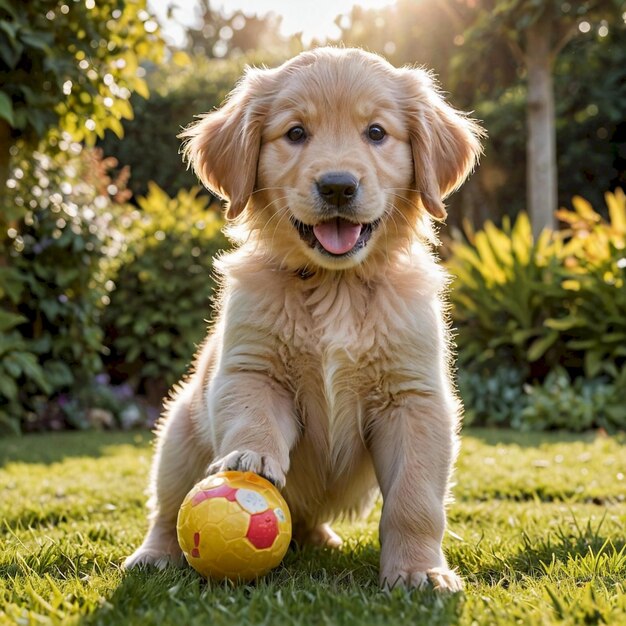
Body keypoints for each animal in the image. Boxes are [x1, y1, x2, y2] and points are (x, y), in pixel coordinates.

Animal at [124, 46, 480, 588]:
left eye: (376, 132)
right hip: (179, 432)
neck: (336, 284)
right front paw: (251, 456)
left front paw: (419, 571)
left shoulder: (414, 401)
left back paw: (319, 538)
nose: (337, 187)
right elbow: (252, 416)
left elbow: (415, 500)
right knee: (167, 508)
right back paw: (155, 554)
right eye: (295, 133)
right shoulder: (251, 368)